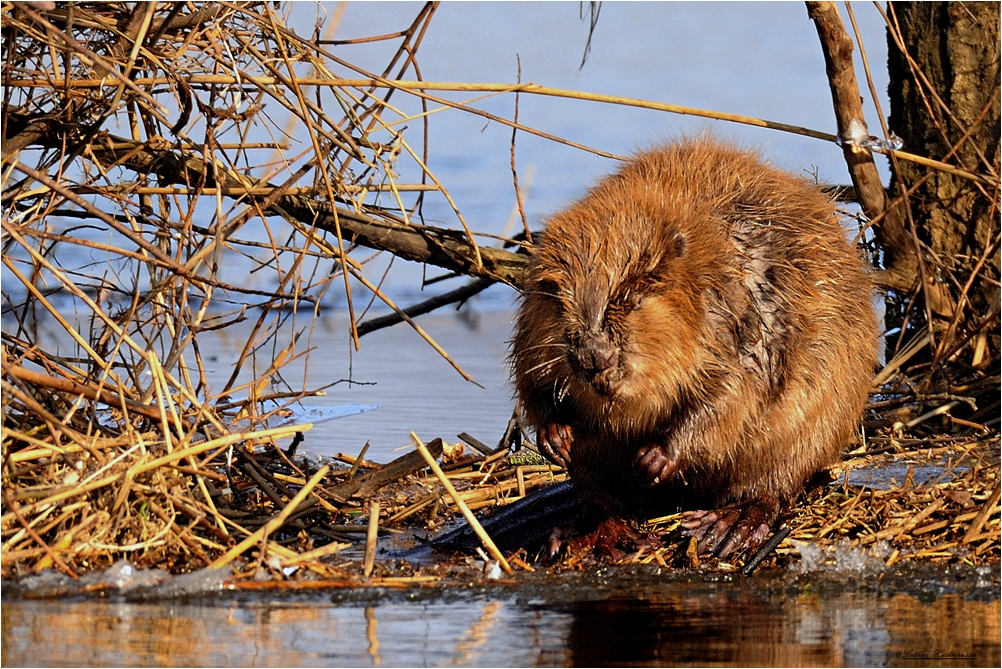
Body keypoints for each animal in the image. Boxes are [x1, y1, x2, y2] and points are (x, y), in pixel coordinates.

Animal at [513, 140, 873, 560]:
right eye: (559, 301)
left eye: (631, 297)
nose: (593, 357)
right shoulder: (533, 329)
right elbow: (532, 380)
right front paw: (556, 436)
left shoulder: (738, 317)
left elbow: (728, 397)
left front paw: (653, 458)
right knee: (598, 499)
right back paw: (599, 534)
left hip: (810, 430)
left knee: (775, 486)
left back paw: (725, 524)